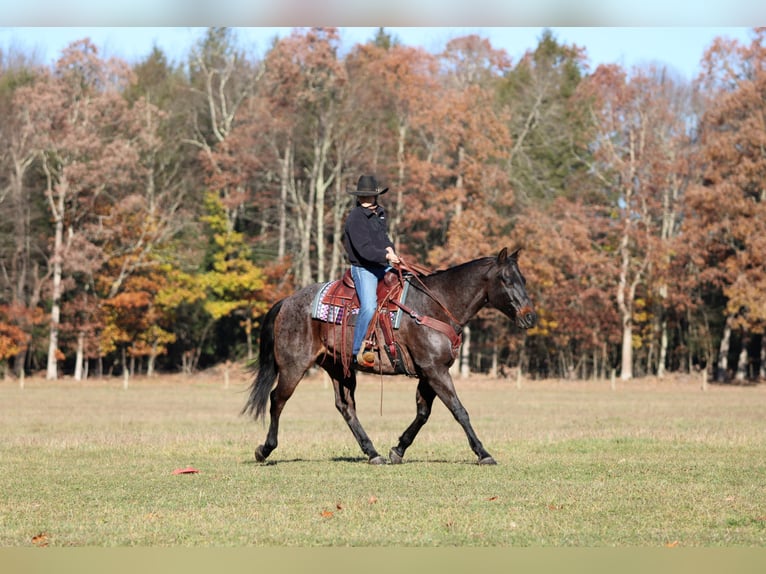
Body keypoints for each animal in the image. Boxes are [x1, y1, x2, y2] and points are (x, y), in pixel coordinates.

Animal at [242, 247, 537, 465]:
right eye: (506, 280)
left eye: (523, 279)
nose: (530, 317)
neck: (435, 306)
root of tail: (287, 302)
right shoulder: (435, 370)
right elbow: (459, 410)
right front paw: (483, 453)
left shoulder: (429, 372)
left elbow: (423, 412)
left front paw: (398, 449)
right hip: (294, 366)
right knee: (277, 400)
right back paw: (264, 449)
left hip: (339, 368)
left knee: (346, 407)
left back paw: (373, 453)